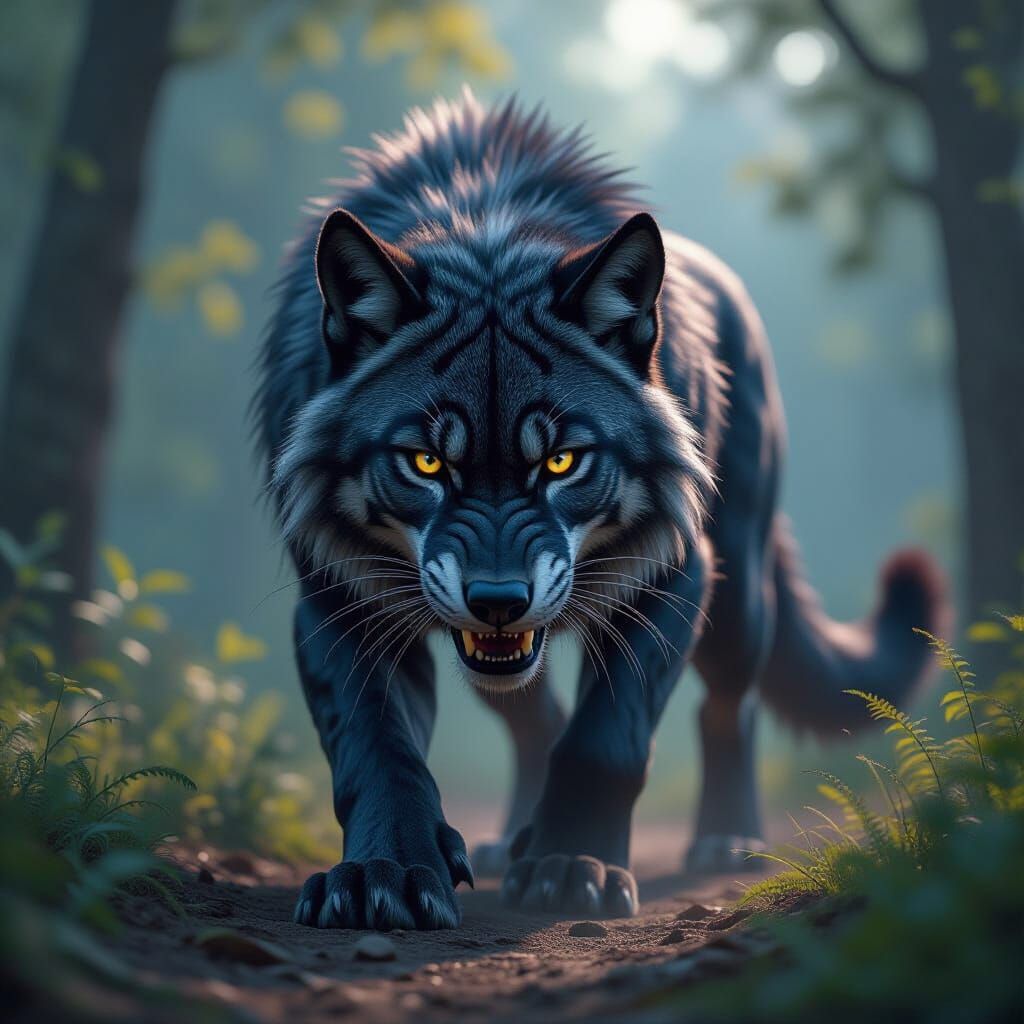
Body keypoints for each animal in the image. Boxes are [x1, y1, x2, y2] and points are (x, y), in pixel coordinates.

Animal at [256, 91, 946, 930]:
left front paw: (567, 868)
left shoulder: (673, 575)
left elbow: (606, 739)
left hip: (739, 601)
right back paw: (509, 842)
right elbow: (374, 744)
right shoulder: (338, 593)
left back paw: (727, 843)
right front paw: (381, 877)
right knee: (536, 720)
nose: (497, 600)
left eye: (561, 461)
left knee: (730, 707)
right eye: (426, 462)